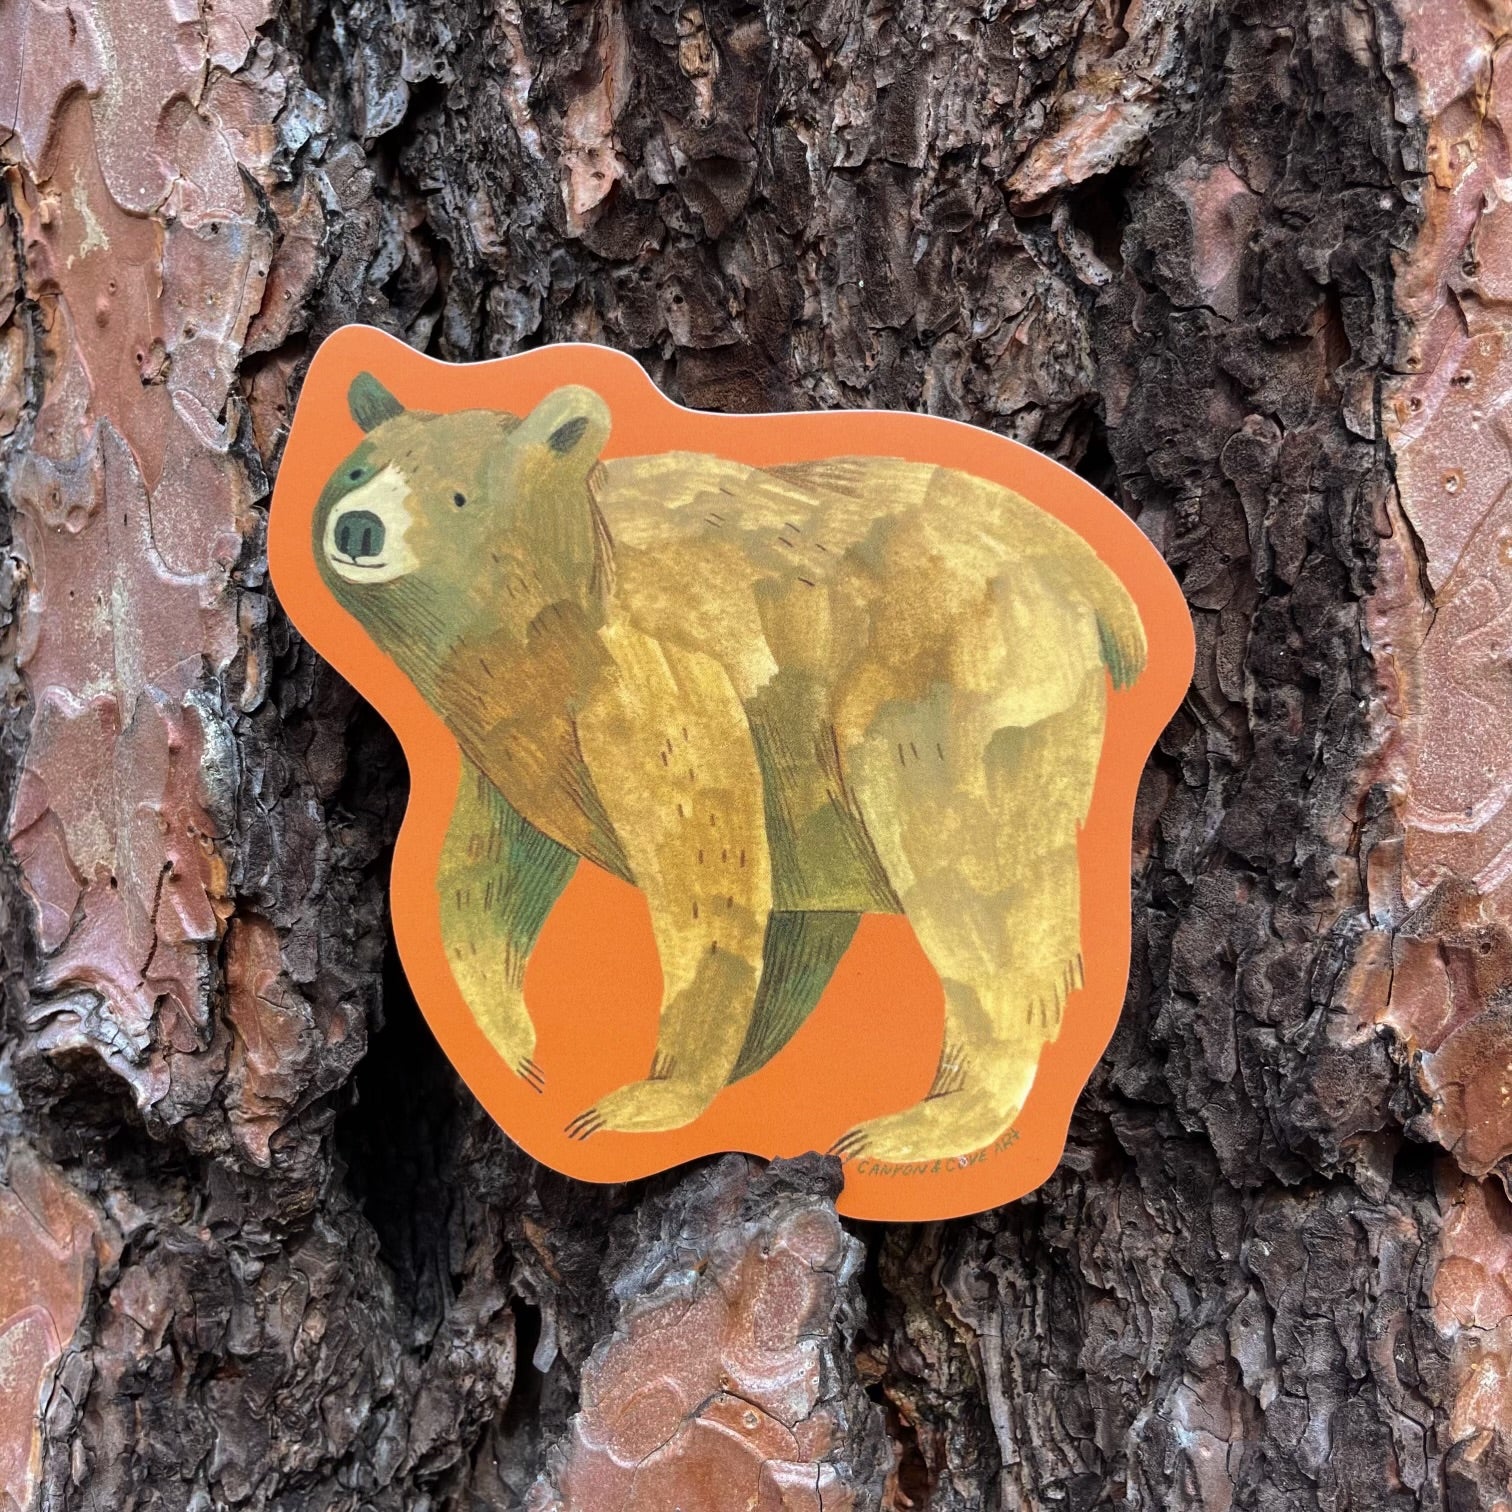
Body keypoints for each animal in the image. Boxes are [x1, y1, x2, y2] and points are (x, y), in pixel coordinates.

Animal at [312, 371, 1147, 1164]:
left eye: (456, 495)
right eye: (358, 469)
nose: (358, 526)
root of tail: (1098, 580)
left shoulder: (653, 663)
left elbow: (699, 853)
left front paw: (641, 1099)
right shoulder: (513, 739)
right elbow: (487, 869)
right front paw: (519, 1052)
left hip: (953, 678)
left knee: (969, 873)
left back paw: (927, 1121)